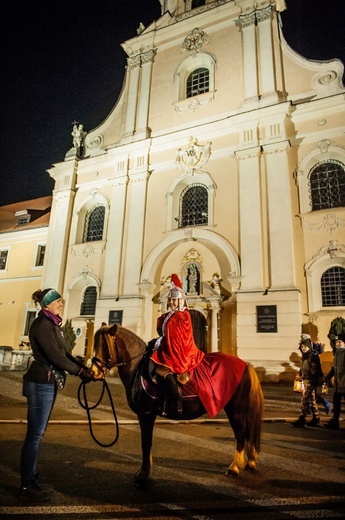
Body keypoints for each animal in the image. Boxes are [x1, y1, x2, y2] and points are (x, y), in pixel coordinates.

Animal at [90, 322, 264, 486]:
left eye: (104, 346)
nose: (92, 372)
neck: (138, 367)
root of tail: (246, 365)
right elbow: (147, 443)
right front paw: (145, 471)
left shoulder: (146, 413)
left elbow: (146, 443)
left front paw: (143, 475)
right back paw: (249, 462)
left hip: (236, 409)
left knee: (241, 434)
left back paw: (234, 467)